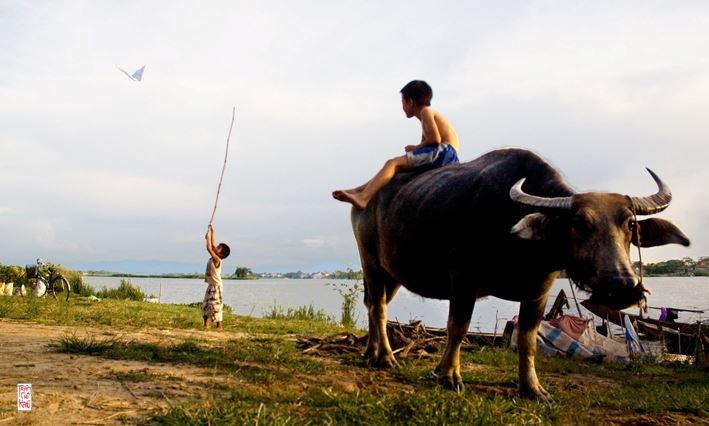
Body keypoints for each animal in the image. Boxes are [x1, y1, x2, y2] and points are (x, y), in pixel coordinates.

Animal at [352, 148, 688, 402]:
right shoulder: (463, 278)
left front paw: (533, 388)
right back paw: (385, 357)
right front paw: (448, 375)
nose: (622, 286)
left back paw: (371, 351)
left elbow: (528, 340)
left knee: (374, 306)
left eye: (630, 224)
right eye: (579, 222)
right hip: (371, 263)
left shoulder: (540, 289)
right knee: (379, 308)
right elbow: (457, 328)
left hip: (393, 274)